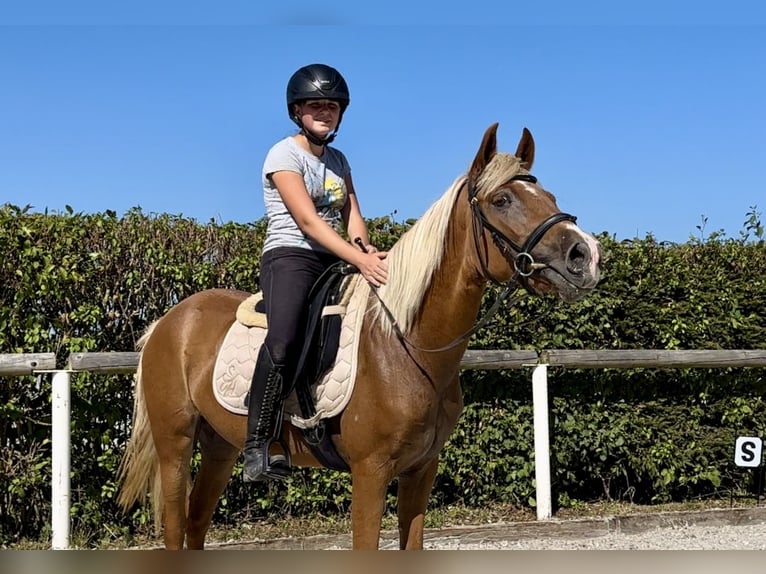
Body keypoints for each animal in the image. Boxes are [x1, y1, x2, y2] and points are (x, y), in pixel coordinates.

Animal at [117, 124, 604, 552]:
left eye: (550, 197)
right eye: (502, 199)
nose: (585, 256)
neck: (404, 345)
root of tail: (166, 323)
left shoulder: (420, 470)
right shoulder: (370, 473)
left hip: (220, 446)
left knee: (197, 524)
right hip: (176, 444)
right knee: (176, 529)